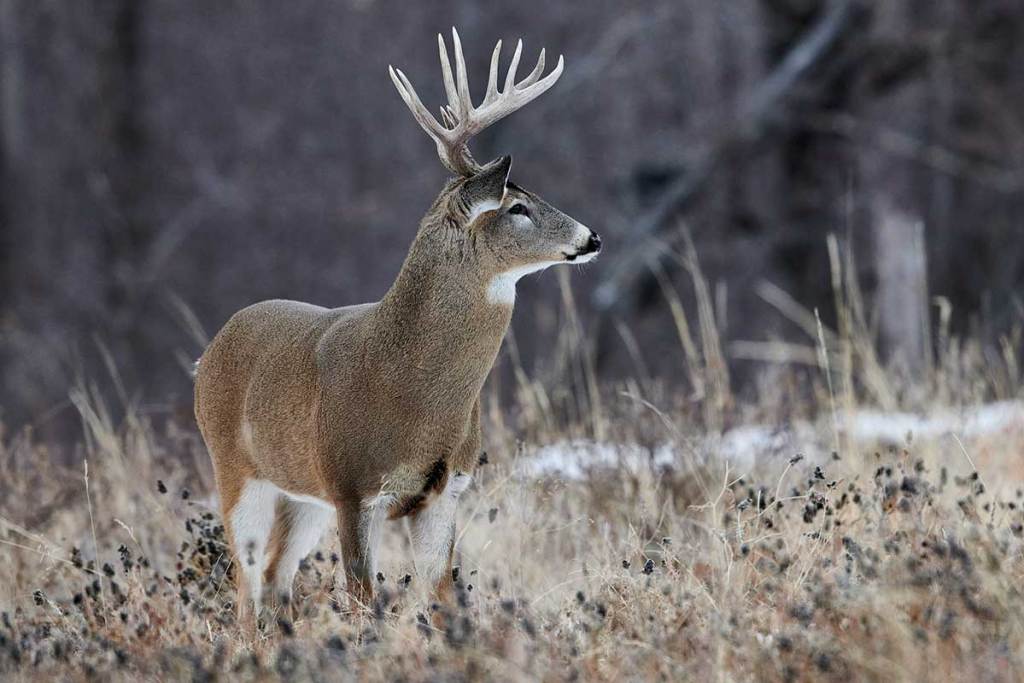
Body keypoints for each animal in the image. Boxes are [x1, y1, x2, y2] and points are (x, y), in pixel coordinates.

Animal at [192, 28, 598, 630]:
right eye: (517, 207)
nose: (592, 237)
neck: (411, 391)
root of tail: (208, 352)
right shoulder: (353, 487)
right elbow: (363, 603)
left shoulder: (447, 490)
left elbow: (444, 597)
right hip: (237, 469)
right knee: (245, 585)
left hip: (303, 495)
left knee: (275, 575)